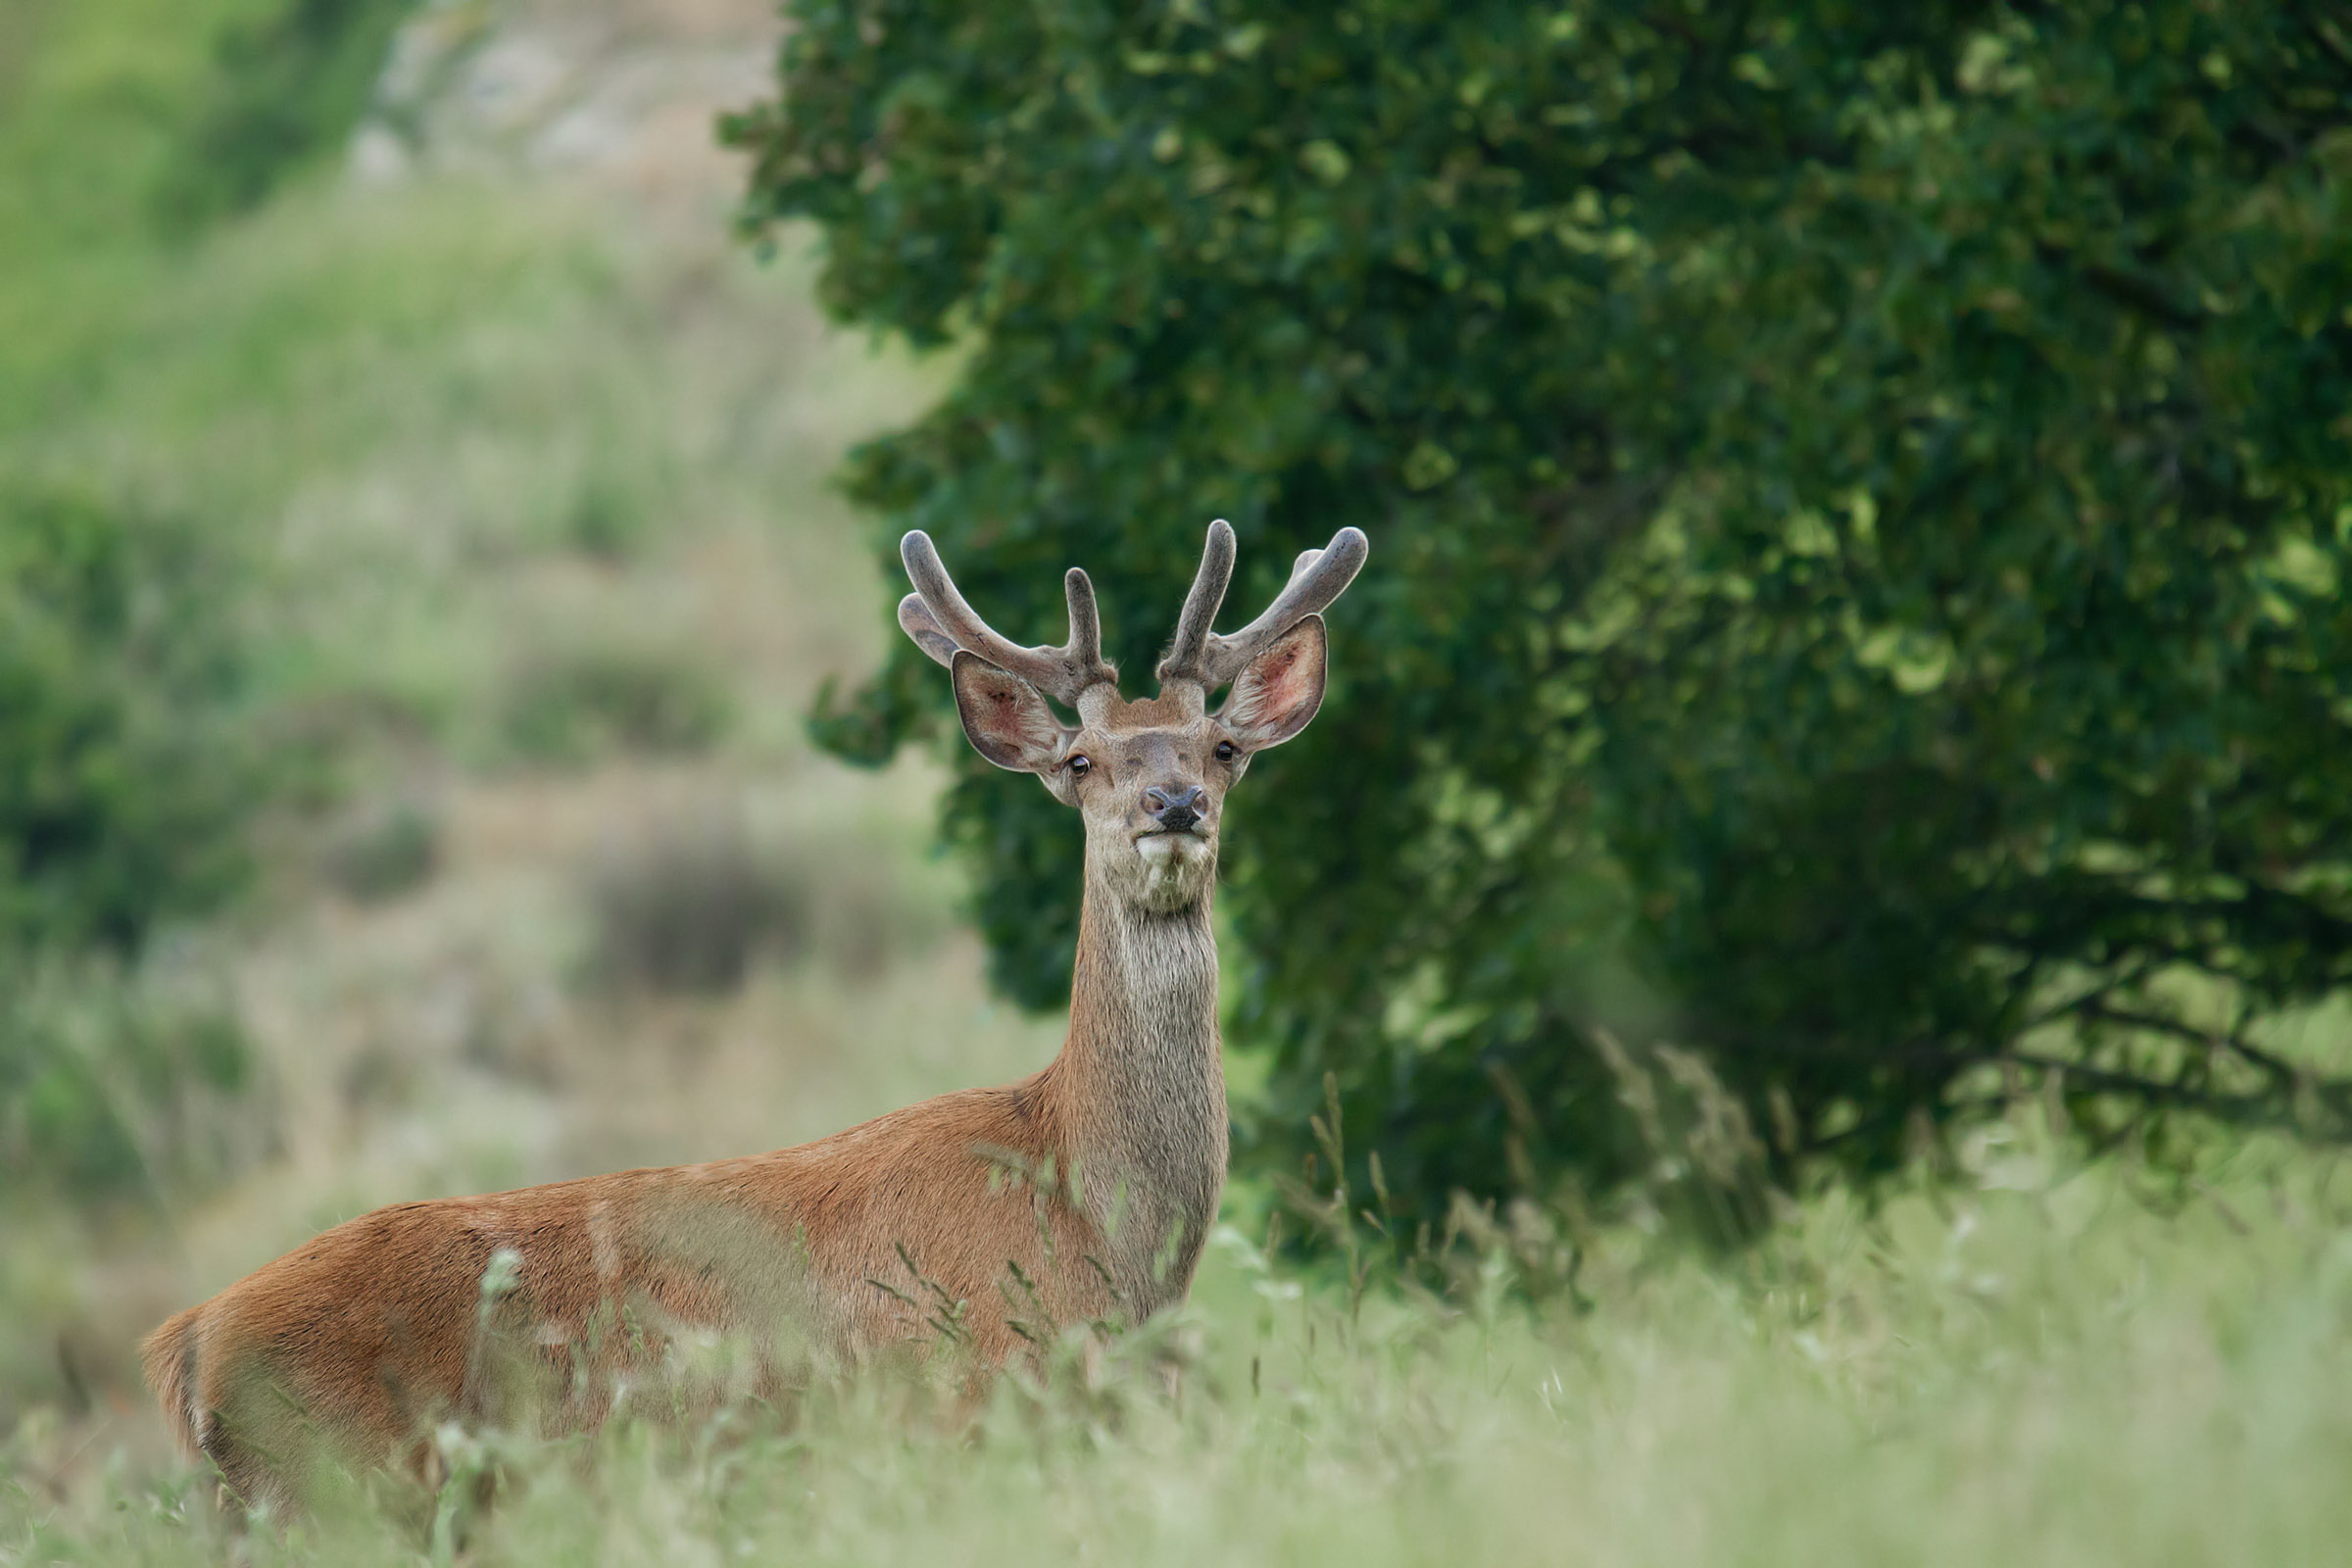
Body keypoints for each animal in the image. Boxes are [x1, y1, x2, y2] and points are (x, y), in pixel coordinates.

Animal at [142, 519, 1367, 1511]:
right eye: (1079, 758)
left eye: (1223, 747)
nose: (1175, 804)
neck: (1088, 1220)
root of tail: (186, 1344)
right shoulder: (959, 1407)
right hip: (344, 1485)